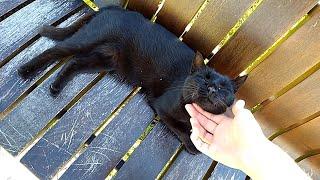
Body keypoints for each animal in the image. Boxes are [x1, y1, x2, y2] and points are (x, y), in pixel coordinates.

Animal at [18, 5, 248, 155]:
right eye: (204, 77)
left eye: (223, 88)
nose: (211, 88)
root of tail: (115, 9)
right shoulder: (161, 107)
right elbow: (180, 128)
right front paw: (192, 145)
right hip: (87, 41)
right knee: (55, 51)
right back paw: (25, 70)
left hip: (104, 60)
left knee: (74, 62)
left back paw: (56, 87)